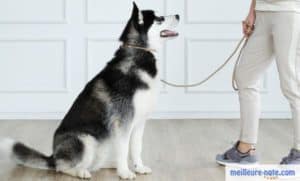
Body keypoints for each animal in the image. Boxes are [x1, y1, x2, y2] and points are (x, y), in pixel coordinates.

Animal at [0, 1, 178, 180]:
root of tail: (53, 155)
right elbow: (123, 150)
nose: (178, 15)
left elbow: (136, 149)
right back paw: (81, 172)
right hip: (86, 140)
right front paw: (125, 172)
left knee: (93, 164)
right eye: (159, 19)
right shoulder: (123, 123)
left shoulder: (139, 122)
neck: (138, 54)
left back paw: (109, 165)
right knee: (62, 167)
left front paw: (138, 167)